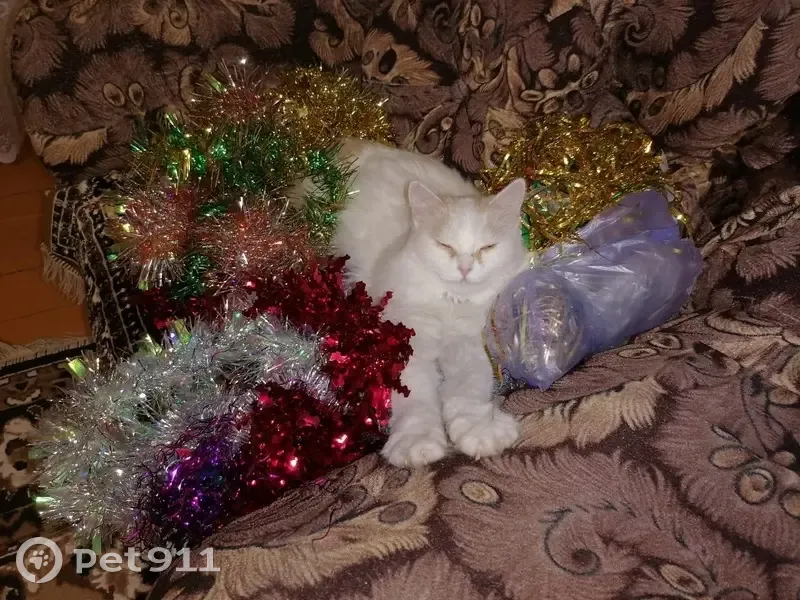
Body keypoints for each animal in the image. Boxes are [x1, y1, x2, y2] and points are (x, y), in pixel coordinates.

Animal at [295, 138, 528, 467]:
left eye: (487, 247)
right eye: (444, 246)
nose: (465, 268)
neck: (450, 302)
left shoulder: (470, 343)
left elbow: (469, 390)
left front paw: (480, 429)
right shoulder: (409, 344)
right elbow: (415, 401)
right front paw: (417, 442)